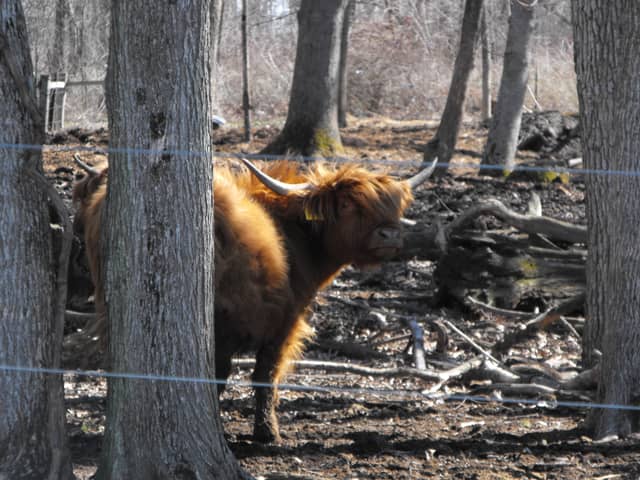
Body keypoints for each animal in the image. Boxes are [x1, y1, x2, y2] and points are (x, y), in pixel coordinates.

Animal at [72, 156, 436, 443]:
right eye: (347, 205)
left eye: (393, 206)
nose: (390, 235)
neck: (295, 238)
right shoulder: (282, 322)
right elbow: (265, 376)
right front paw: (267, 433)